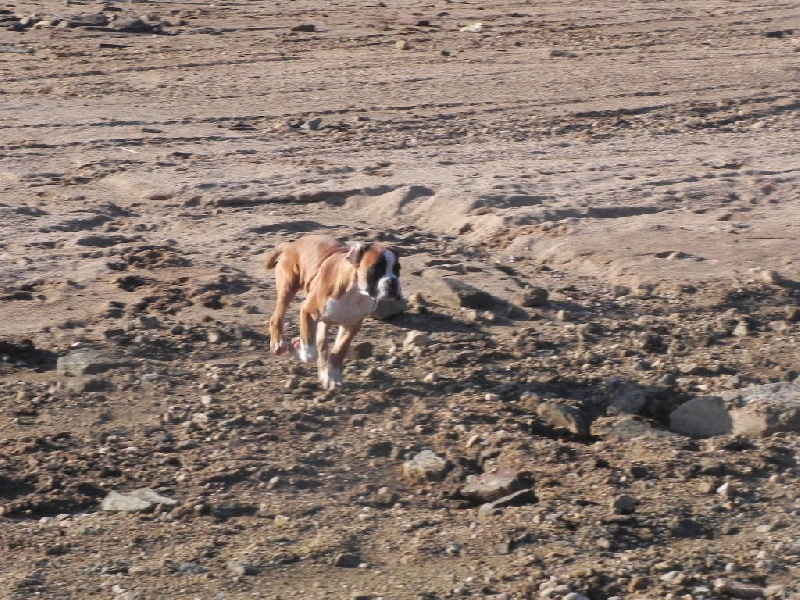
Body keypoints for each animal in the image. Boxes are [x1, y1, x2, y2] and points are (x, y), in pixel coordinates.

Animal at [268, 232, 404, 392]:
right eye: (376, 269)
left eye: (397, 269)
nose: (392, 282)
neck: (356, 293)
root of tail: (291, 245)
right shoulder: (308, 311)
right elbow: (310, 353)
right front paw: (296, 348)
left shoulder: (352, 325)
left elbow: (339, 350)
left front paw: (333, 376)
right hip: (288, 288)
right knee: (276, 317)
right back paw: (278, 343)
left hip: (323, 320)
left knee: (322, 345)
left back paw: (325, 376)